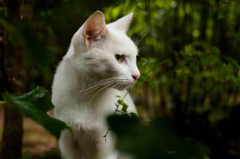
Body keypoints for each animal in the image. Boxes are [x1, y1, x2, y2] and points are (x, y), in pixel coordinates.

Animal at [51, 11, 140, 159]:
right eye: (118, 58)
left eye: (135, 58)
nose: (137, 75)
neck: (85, 95)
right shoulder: (66, 141)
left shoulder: (106, 145)